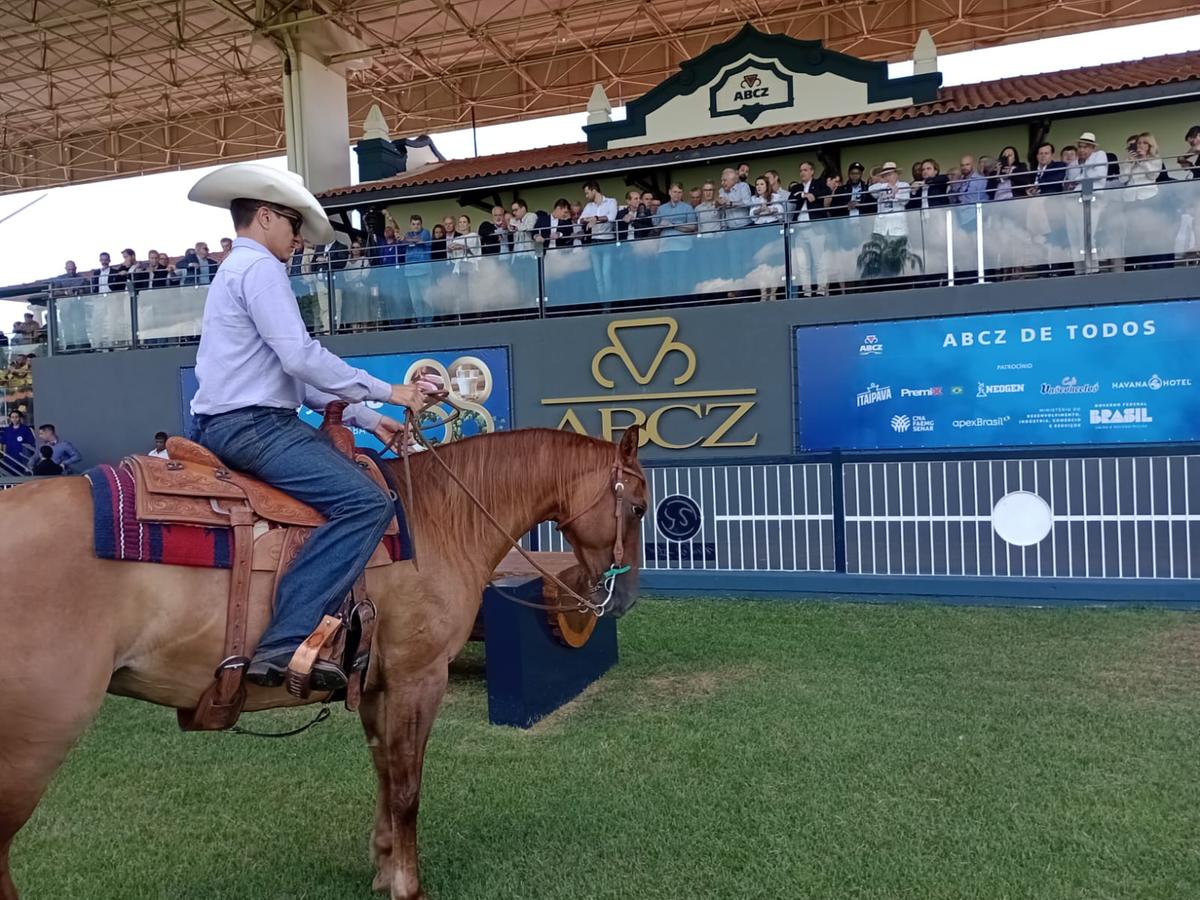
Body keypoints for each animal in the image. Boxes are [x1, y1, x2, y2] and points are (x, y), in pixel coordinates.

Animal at [0, 427, 648, 900]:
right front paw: (408, 886)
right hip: (34, 743)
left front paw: (384, 868)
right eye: (639, 506)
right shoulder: (418, 679)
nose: (627, 597)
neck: (438, 519)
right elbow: (408, 786)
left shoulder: (378, 685)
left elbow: (384, 771)